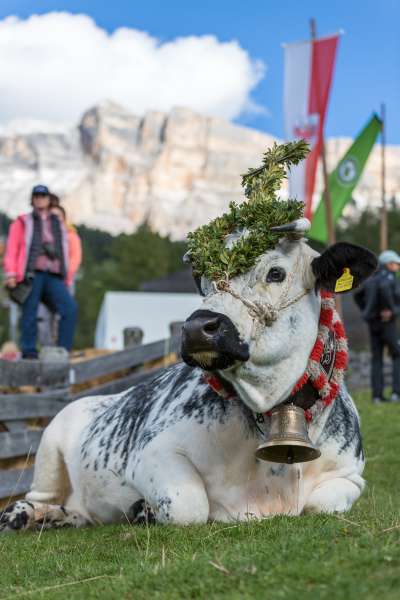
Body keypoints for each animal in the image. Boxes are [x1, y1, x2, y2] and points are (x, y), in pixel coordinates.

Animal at [0, 223, 376, 532]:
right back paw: (21, 515)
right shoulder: (152, 451)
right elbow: (189, 505)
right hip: (48, 448)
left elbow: (320, 504)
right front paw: (145, 509)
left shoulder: (351, 475)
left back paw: (64, 518)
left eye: (275, 273)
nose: (197, 327)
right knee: (38, 495)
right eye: (205, 278)